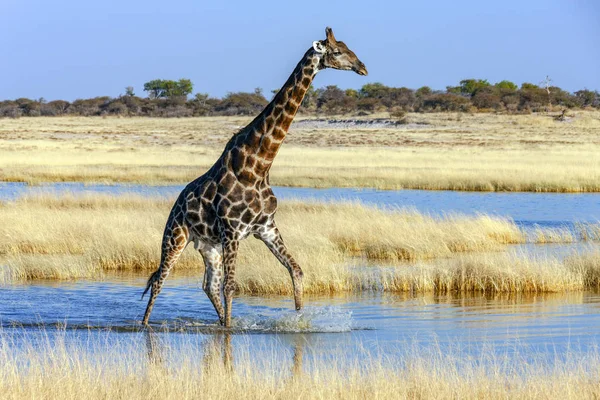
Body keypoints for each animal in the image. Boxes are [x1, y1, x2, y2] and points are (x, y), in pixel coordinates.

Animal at [142, 28, 366, 328]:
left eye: (348, 47)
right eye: (338, 51)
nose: (362, 67)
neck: (258, 167)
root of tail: (175, 205)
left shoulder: (266, 227)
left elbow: (296, 270)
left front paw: (300, 320)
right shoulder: (232, 230)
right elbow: (231, 287)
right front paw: (229, 330)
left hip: (209, 246)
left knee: (208, 285)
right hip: (175, 236)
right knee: (160, 281)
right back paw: (143, 325)